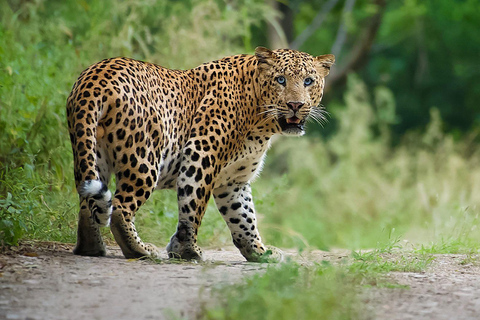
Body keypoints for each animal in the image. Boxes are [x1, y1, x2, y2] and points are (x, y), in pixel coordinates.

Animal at [66, 47, 334, 262]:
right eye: (280, 79)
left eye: (308, 81)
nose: (296, 105)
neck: (260, 121)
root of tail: (95, 78)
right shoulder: (202, 154)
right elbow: (193, 206)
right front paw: (187, 251)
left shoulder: (233, 181)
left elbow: (244, 217)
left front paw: (260, 252)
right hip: (144, 157)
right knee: (120, 208)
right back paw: (140, 250)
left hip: (89, 151)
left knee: (88, 202)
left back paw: (91, 248)